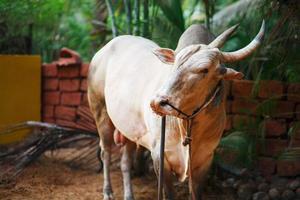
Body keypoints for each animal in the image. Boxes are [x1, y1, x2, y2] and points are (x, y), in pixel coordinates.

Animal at [87, 21, 264, 199]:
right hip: (100, 111)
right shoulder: (159, 155)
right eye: (175, 64)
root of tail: (104, 49)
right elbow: (169, 193)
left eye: (204, 69)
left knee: (125, 161)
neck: (189, 123)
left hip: (129, 129)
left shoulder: (205, 159)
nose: (157, 102)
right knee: (106, 152)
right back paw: (107, 192)